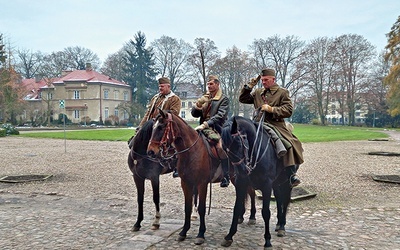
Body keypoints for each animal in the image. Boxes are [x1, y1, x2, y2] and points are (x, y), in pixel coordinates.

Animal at [147, 110, 256, 245]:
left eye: (161, 127)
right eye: (153, 127)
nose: (150, 152)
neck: (192, 151)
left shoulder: (202, 184)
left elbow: (201, 208)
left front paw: (200, 234)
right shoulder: (186, 183)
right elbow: (187, 207)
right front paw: (183, 232)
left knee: (251, 192)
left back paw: (251, 217)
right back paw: (241, 217)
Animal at [220, 116, 292, 249]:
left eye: (238, 143)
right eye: (224, 149)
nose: (242, 171)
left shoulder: (267, 186)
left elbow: (266, 212)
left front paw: (267, 241)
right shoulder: (241, 184)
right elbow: (236, 208)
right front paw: (229, 236)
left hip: (286, 182)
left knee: (285, 201)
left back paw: (282, 226)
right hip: (276, 183)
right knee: (279, 199)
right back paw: (279, 223)